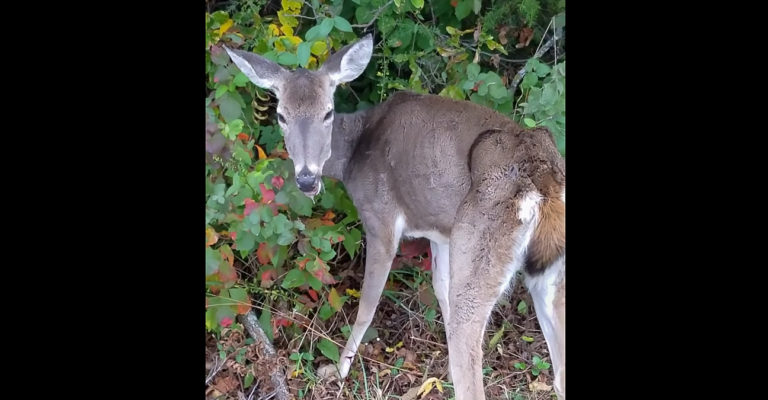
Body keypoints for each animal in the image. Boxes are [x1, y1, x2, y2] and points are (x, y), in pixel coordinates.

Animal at [225, 33, 568, 400]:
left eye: (327, 112)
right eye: (281, 116)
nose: (306, 179)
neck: (352, 155)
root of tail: (543, 176)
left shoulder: (381, 219)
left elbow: (367, 304)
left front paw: (338, 371)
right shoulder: (442, 231)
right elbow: (440, 288)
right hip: (544, 266)